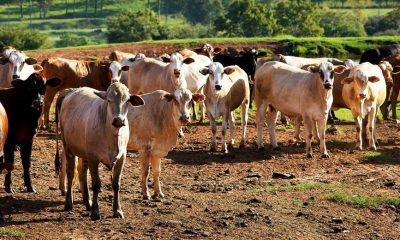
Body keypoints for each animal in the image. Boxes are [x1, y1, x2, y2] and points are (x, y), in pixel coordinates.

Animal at [55, 83, 144, 221]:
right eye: (109, 100)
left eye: (127, 101)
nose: (118, 120)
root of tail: (71, 91)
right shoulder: (93, 157)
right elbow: (96, 184)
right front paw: (96, 212)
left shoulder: (122, 158)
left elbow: (116, 184)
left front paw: (117, 210)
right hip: (68, 147)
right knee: (70, 173)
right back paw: (69, 203)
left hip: (84, 152)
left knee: (82, 172)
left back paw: (88, 203)